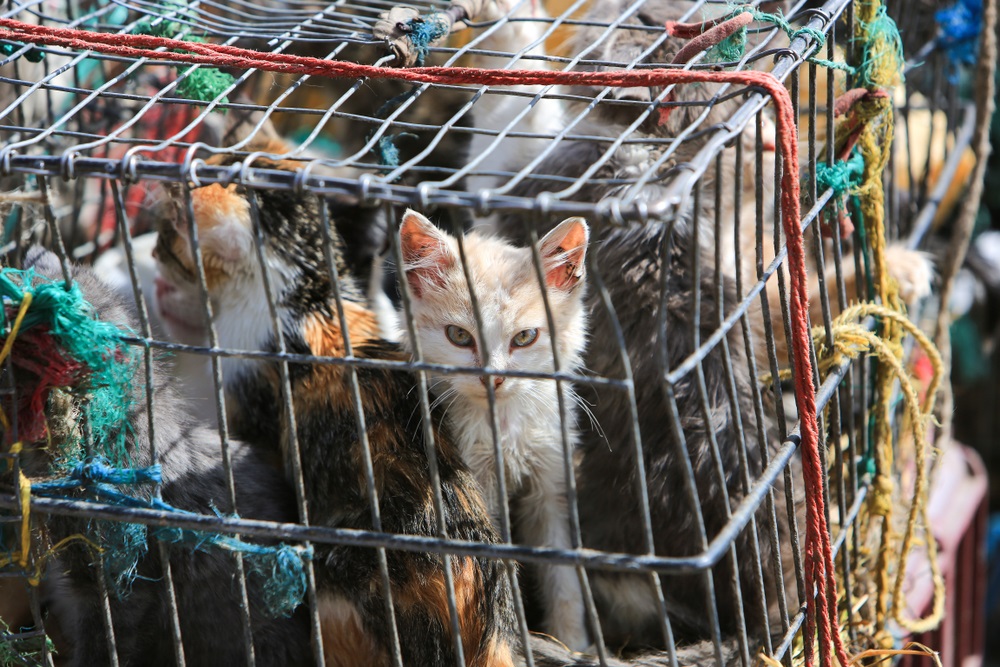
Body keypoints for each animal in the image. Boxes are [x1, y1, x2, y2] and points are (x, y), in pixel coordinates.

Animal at [394, 210, 588, 652]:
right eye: (459, 336)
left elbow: (562, 573)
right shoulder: (478, 491)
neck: (502, 426)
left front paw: (572, 641)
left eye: (525, 337)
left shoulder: (551, 483)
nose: (493, 378)